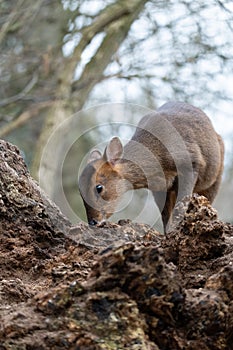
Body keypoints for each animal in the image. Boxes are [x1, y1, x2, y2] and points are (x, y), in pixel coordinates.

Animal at [78, 101, 224, 232]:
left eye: (99, 187)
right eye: (80, 191)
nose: (92, 221)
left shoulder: (192, 162)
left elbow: (181, 203)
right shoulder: (159, 187)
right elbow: (165, 215)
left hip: (214, 180)